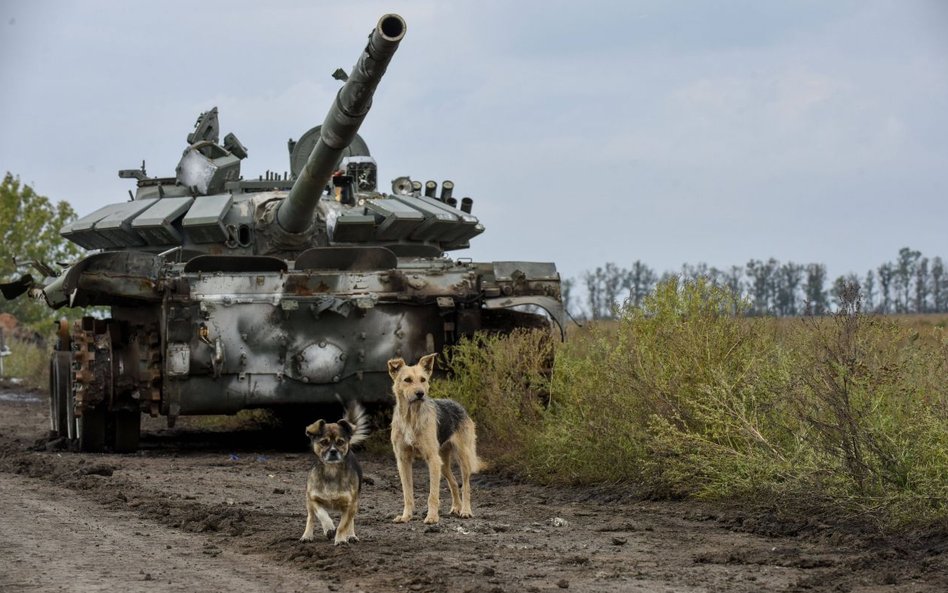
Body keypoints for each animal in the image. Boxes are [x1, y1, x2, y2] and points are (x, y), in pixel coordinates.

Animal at [298, 402, 368, 544]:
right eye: (324, 442)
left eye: (340, 442)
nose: (333, 451)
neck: (332, 470)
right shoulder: (313, 499)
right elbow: (322, 514)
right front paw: (329, 527)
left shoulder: (350, 505)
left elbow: (343, 525)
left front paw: (340, 539)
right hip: (309, 503)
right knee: (310, 518)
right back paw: (307, 535)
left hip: (355, 503)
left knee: (351, 521)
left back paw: (351, 535)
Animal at [386, 352, 482, 524]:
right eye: (407, 380)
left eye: (423, 379)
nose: (420, 394)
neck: (411, 417)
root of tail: (458, 404)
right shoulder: (403, 461)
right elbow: (407, 494)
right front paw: (406, 516)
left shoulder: (432, 459)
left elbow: (433, 495)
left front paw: (431, 517)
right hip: (443, 463)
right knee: (453, 483)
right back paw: (456, 507)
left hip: (462, 458)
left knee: (466, 486)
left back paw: (465, 511)